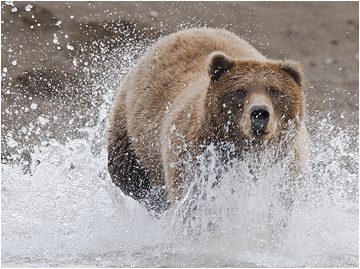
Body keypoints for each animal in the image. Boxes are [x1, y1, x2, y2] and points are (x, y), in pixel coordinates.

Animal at [108, 27, 308, 211]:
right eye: (240, 91)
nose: (260, 113)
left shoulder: (285, 166)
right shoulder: (194, 157)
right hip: (129, 131)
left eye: (274, 90)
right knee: (128, 174)